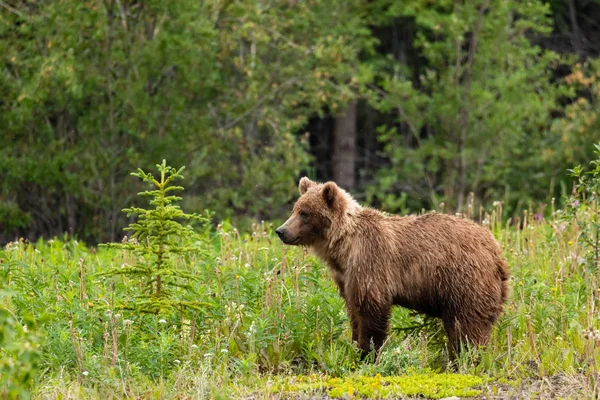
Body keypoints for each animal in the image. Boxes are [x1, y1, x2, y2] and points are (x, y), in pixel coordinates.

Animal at [274, 177, 508, 358]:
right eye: (295, 208)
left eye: (305, 213)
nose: (281, 231)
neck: (344, 246)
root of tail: (496, 251)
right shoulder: (346, 276)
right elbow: (353, 311)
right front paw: (355, 344)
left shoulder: (370, 262)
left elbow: (371, 311)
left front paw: (367, 352)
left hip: (464, 281)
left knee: (467, 326)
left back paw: (465, 358)